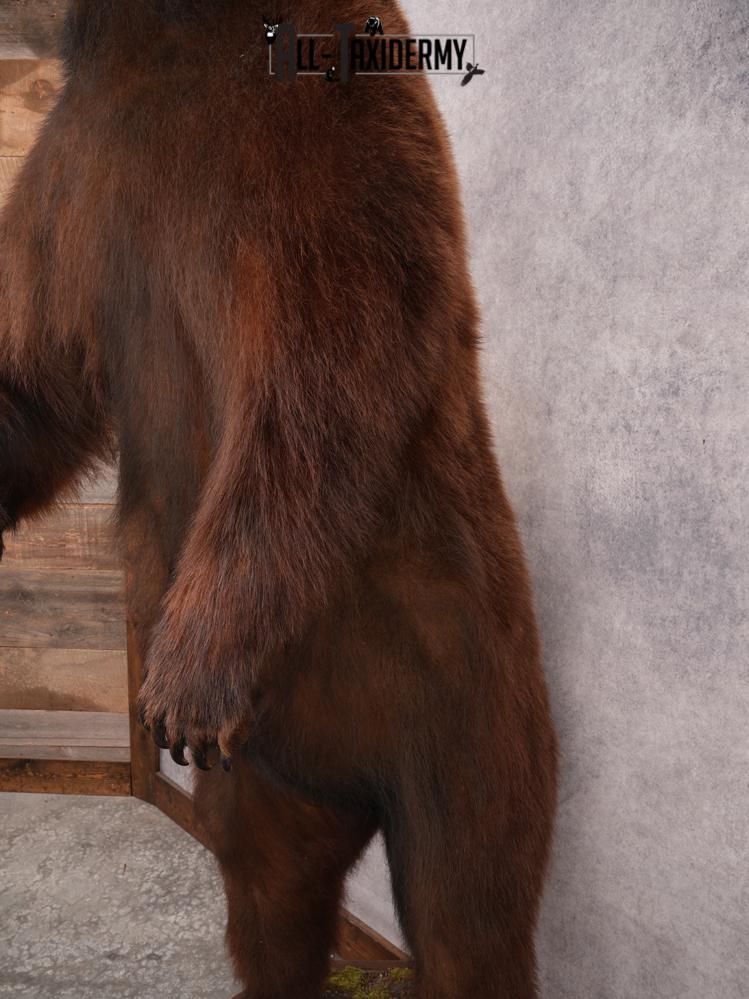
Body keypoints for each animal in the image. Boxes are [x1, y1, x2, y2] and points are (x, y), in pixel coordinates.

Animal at [0, 1, 558, 997]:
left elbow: (320, 367)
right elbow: (42, 363)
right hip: (261, 775)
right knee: (267, 893)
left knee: (469, 906)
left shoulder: (305, 141)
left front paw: (185, 677)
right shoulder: (78, 168)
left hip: (467, 695)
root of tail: (351, 778)